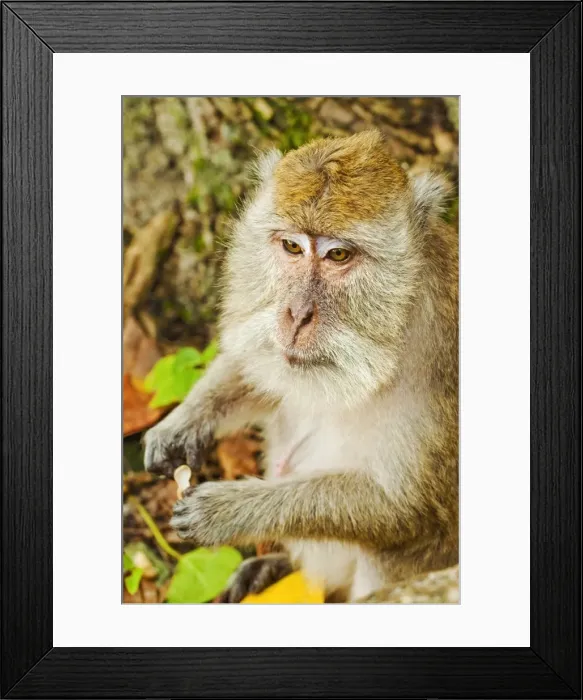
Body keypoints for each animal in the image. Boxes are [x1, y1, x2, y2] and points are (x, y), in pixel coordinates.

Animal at [143, 129, 458, 603]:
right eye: (291, 246)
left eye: (338, 255)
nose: (296, 315)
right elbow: (260, 367)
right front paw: (181, 425)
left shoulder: (439, 362)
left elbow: (403, 508)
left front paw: (230, 510)